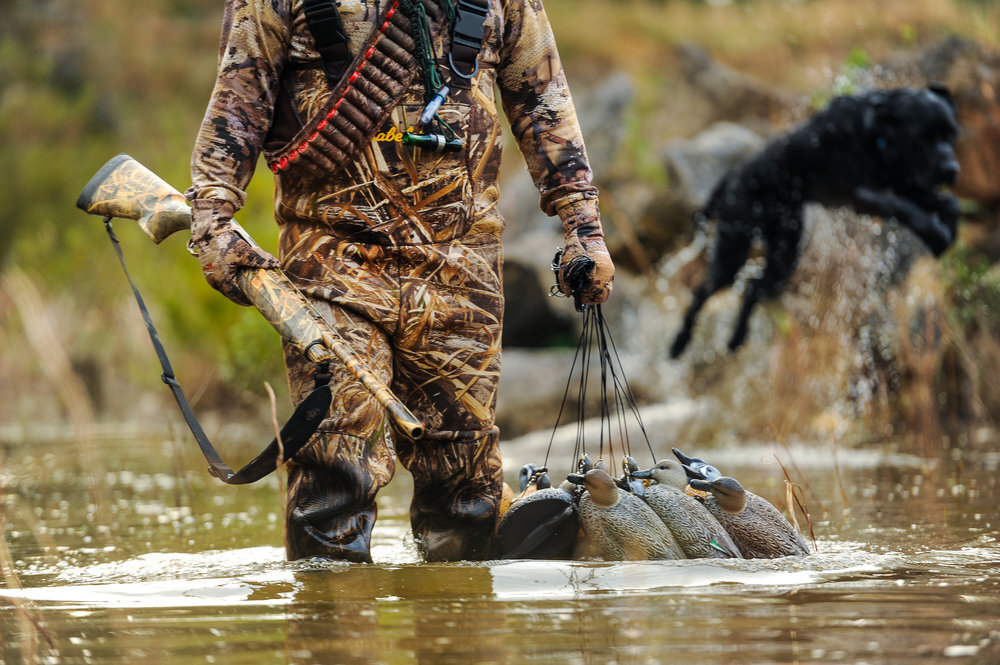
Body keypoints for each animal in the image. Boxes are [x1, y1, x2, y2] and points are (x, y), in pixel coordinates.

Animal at [672, 83, 960, 358]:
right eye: (922, 138)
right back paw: (679, 342)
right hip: (732, 251)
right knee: (701, 291)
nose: (952, 169)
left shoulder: (904, 182)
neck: (872, 134)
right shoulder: (858, 194)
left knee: (754, 289)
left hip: (785, 255)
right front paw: (935, 234)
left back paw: (737, 337)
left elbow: (948, 202)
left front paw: (947, 230)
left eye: (951, 135)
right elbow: (900, 206)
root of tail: (731, 176)